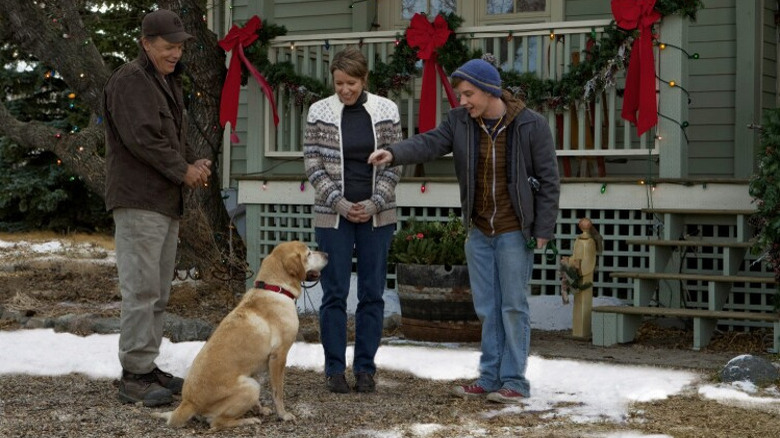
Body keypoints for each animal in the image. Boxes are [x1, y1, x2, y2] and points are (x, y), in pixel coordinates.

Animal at [154, 243, 328, 432]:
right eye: (308, 253)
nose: (327, 254)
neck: (275, 288)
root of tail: (189, 402)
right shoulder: (279, 357)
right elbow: (278, 392)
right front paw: (283, 415)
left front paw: (260, 408)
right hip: (251, 387)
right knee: (217, 423)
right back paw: (247, 420)